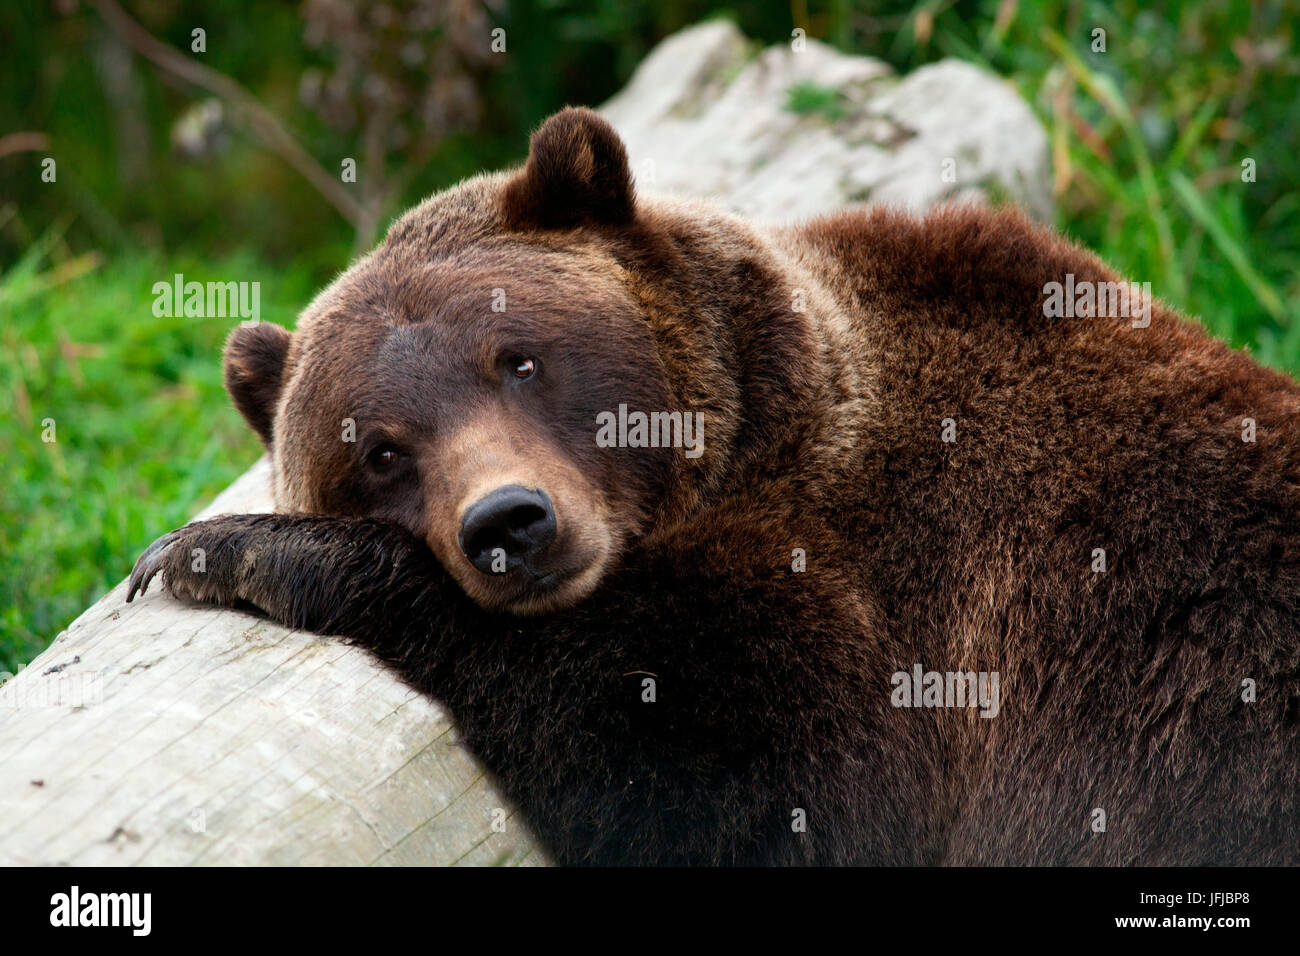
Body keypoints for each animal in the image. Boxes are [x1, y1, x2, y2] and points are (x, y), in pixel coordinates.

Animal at [126, 106, 1294, 868]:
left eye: (518, 358)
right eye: (377, 450)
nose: (510, 523)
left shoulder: (941, 602)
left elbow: (763, 786)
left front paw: (228, 547)